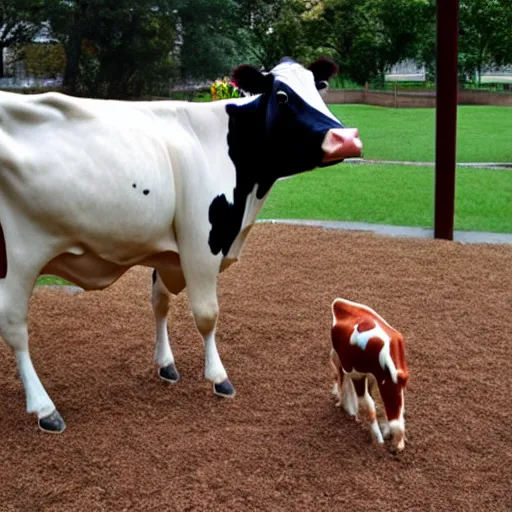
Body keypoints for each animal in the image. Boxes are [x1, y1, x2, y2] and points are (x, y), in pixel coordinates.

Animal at [0, 57, 360, 432]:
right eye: (282, 96)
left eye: (319, 87)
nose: (347, 138)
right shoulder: (201, 244)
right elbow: (207, 314)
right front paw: (218, 377)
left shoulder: (168, 251)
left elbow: (160, 303)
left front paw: (166, 364)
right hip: (19, 256)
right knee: (14, 325)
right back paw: (44, 408)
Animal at [330, 298, 410, 450]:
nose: (397, 449)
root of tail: (339, 303)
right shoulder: (357, 375)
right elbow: (368, 404)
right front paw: (378, 440)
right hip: (339, 361)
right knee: (341, 379)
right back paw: (343, 403)